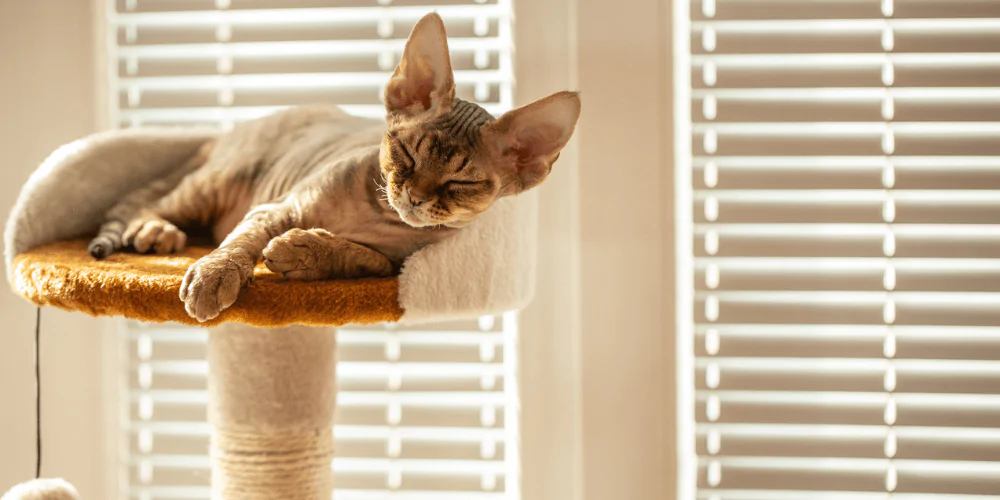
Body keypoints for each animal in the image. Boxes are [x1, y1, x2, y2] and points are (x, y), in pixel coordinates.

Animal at [90, 13, 584, 324]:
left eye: (461, 182)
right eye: (406, 152)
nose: (416, 197)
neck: (377, 214)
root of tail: (232, 130)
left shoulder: (395, 267)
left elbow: (364, 257)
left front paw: (304, 252)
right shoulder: (277, 206)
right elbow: (241, 241)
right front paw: (215, 275)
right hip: (217, 181)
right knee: (155, 202)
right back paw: (157, 231)